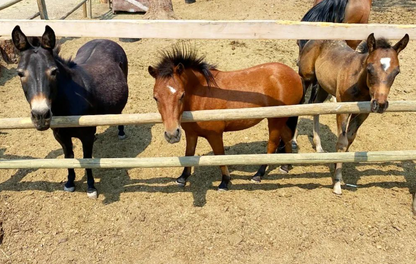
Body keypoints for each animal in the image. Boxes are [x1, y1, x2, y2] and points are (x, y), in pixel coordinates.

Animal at [11, 25, 128, 198]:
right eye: (20, 74)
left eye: (53, 72)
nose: (41, 116)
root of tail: (103, 39)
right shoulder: (61, 136)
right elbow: (69, 157)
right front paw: (70, 183)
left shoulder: (86, 136)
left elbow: (87, 159)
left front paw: (91, 187)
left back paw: (121, 132)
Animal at [148, 45, 304, 190]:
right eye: (156, 98)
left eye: (181, 95)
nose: (172, 135)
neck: (203, 94)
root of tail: (295, 75)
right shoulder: (191, 133)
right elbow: (189, 153)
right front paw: (182, 178)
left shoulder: (215, 135)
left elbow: (220, 156)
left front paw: (225, 181)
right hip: (281, 118)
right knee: (287, 136)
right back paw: (285, 166)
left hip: (275, 120)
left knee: (272, 144)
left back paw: (258, 175)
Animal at [300, 32, 410, 194]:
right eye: (369, 68)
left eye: (397, 72)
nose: (381, 104)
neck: (358, 81)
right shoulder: (343, 109)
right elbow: (342, 142)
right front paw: (337, 184)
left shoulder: (363, 113)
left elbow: (350, 139)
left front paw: (338, 173)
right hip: (306, 78)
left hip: (323, 86)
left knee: (315, 106)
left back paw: (319, 146)